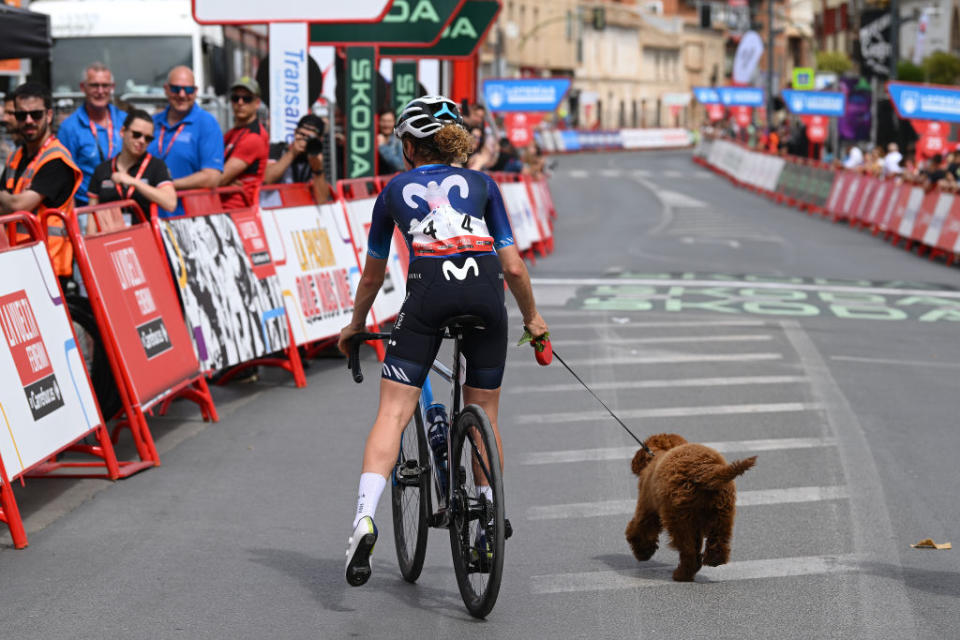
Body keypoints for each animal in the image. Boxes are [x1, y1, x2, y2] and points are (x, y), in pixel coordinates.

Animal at [632, 436, 756, 580]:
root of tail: (704, 470)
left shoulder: (647, 505)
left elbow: (640, 528)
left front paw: (642, 551)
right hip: (722, 511)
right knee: (718, 541)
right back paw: (714, 560)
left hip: (679, 517)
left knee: (688, 550)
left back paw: (681, 575)